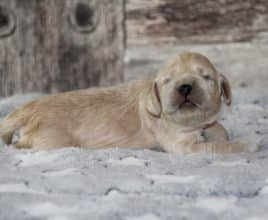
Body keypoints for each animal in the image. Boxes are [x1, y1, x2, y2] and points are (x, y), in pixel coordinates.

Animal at [0, 52, 260, 154]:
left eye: (206, 77)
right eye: (167, 81)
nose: (185, 87)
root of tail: (30, 107)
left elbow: (218, 131)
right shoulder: (182, 146)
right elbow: (220, 147)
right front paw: (249, 143)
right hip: (51, 141)